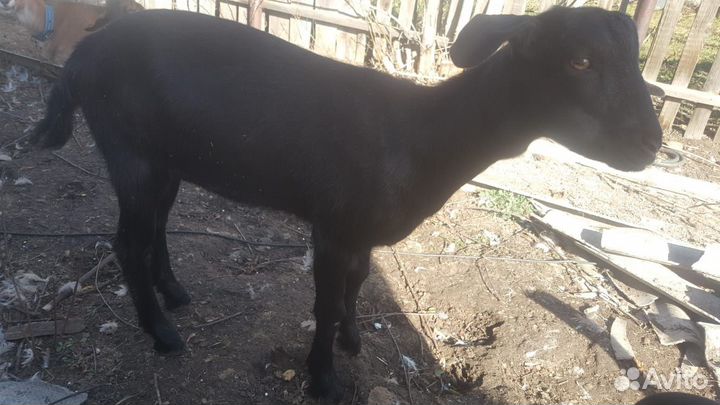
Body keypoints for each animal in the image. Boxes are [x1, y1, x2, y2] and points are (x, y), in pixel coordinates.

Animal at [30, 7, 662, 401]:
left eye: (635, 62)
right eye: (579, 61)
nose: (650, 144)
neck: (422, 137)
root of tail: (81, 54)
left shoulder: (360, 231)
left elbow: (358, 285)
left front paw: (352, 342)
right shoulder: (333, 226)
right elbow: (328, 300)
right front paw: (324, 379)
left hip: (164, 158)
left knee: (156, 225)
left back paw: (175, 294)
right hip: (129, 147)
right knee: (127, 243)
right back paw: (162, 333)